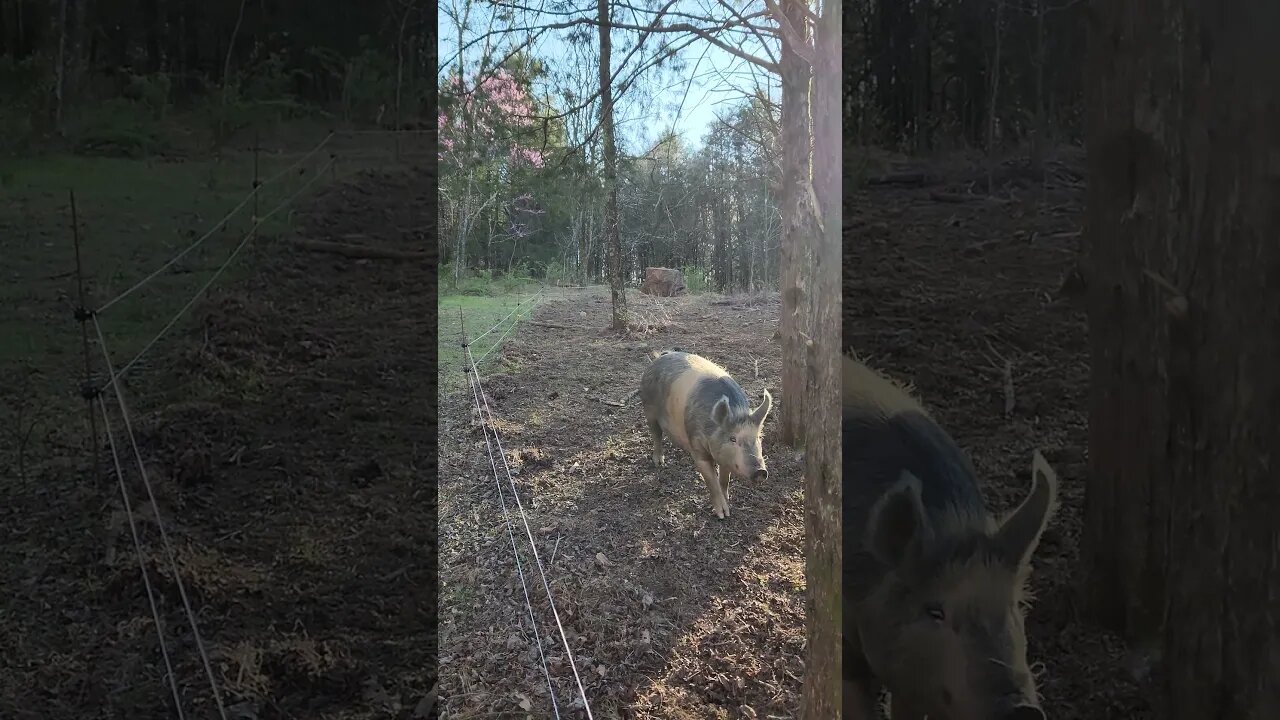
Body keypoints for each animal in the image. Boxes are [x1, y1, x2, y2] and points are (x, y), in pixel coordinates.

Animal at [640, 348, 768, 515]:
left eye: (758, 438)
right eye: (733, 439)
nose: (761, 471)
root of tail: (660, 357)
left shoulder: (725, 456)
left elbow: (724, 479)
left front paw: (727, 502)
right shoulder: (697, 448)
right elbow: (711, 480)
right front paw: (722, 514)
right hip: (648, 408)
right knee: (656, 435)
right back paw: (659, 463)